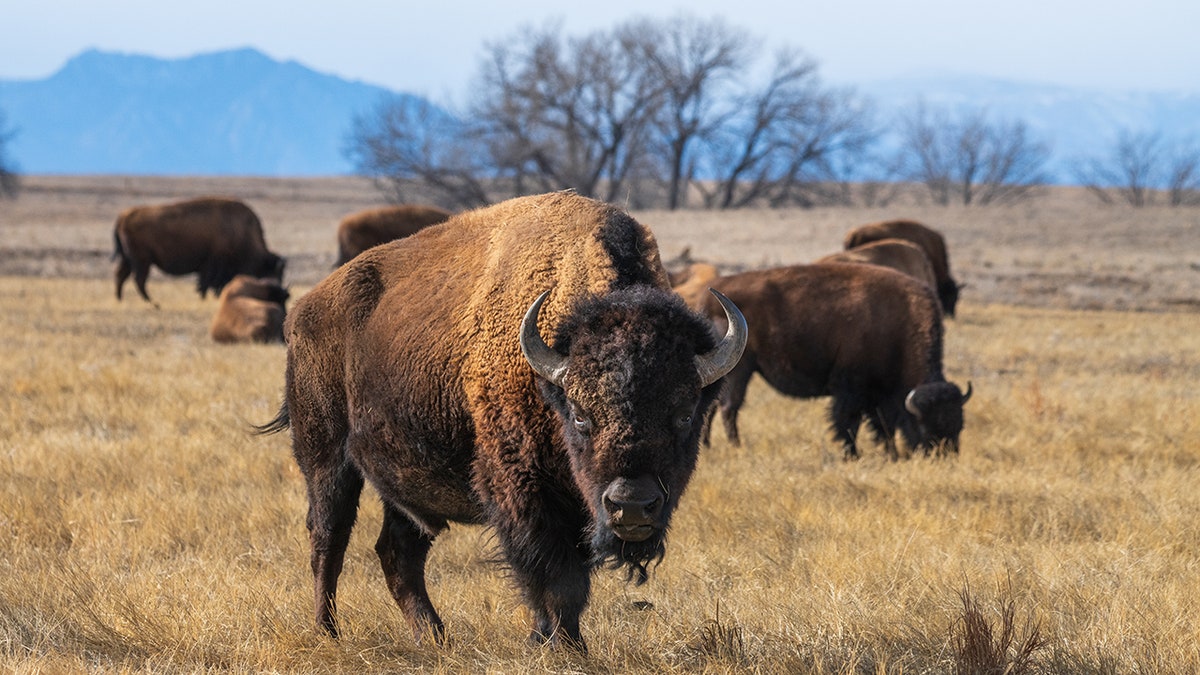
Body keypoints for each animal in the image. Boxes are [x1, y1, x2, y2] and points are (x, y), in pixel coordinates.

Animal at [113, 197, 285, 306]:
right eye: (272, 272)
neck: (240, 231)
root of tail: (123, 216)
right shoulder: (211, 264)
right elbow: (205, 284)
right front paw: (203, 298)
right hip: (142, 260)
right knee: (139, 279)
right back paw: (153, 302)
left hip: (129, 259)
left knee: (121, 276)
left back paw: (121, 300)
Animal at [256, 191, 747, 651]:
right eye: (581, 415)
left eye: (684, 414)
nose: (631, 505)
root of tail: (304, 310)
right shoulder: (522, 488)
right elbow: (556, 578)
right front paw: (563, 646)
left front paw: (552, 640)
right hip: (325, 457)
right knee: (329, 538)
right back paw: (328, 632)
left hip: (405, 481)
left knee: (398, 553)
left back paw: (435, 637)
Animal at [702, 262, 971, 460]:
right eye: (925, 426)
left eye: (960, 425)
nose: (944, 457)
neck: (898, 326)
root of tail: (711, 297)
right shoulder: (851, 389)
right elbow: (848, 422)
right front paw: (852, 455)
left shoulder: (878, 395)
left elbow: (882, 426)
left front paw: (890, 454)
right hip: (741, 368)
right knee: (729, 407)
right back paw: (736, 446)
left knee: (714, 407)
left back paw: (707, 445)